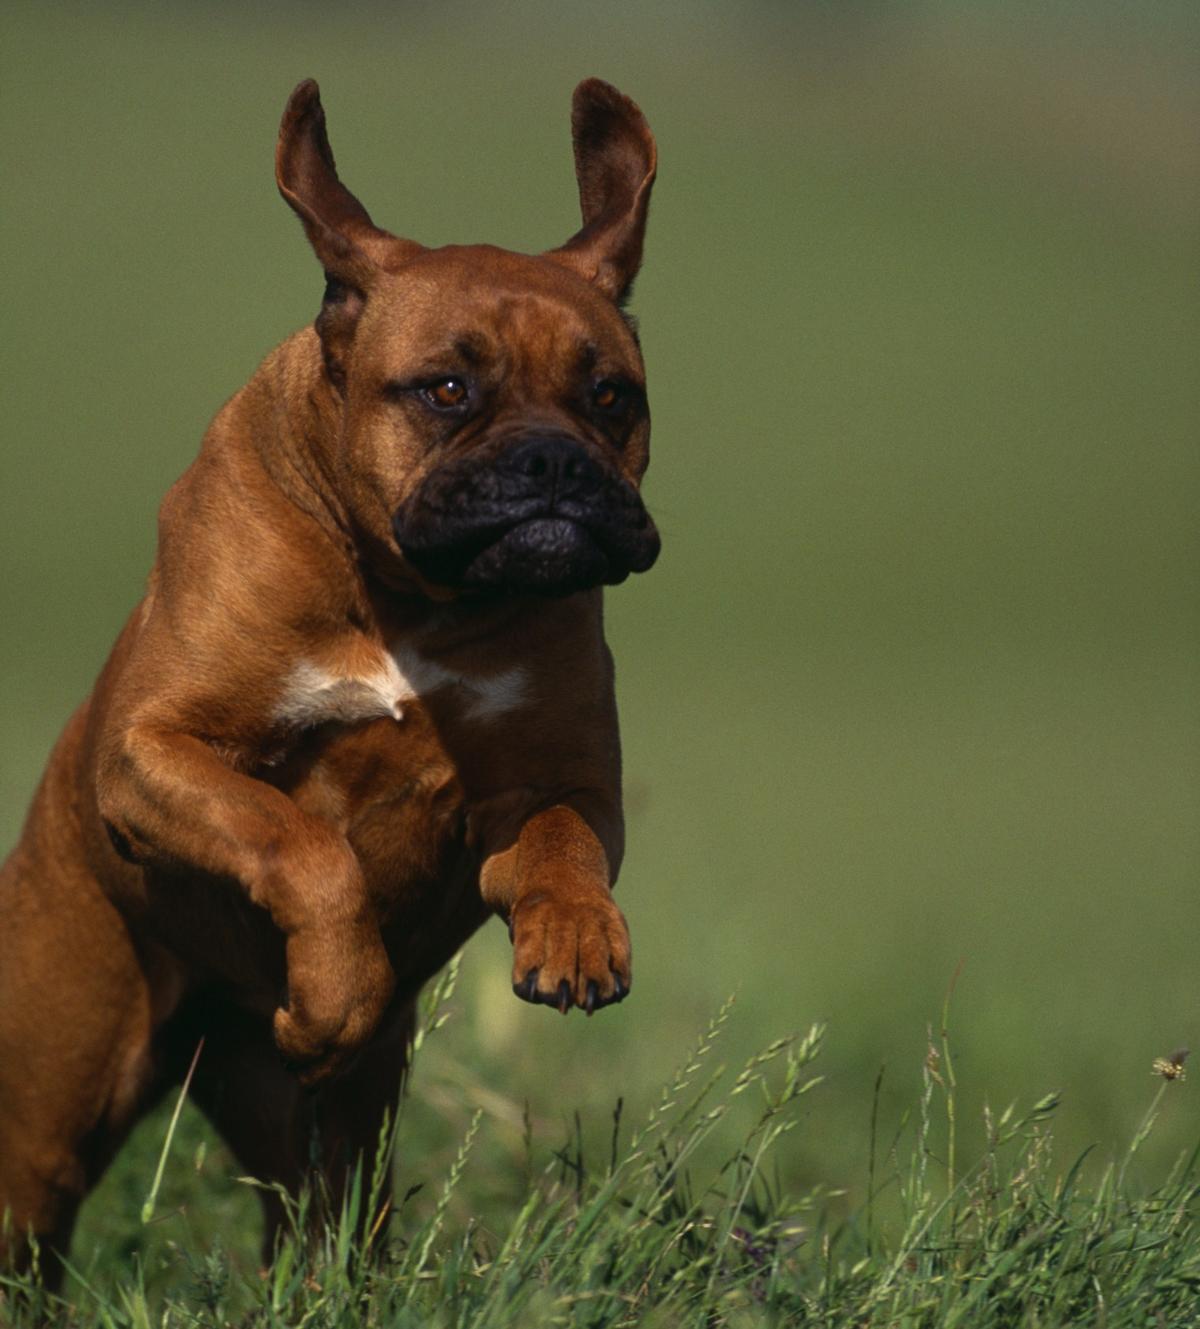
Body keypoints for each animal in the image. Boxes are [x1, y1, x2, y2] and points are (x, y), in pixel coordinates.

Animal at [0, 77, 656, 1281]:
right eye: (445, 389)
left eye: (610, 397)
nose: (552, 461)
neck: (409, 594)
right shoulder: (155, 752)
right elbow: (299, 845)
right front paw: (337, 987)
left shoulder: (559, 782)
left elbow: (560, 845)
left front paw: (575, 933)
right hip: (46, 1107)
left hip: (326, 1144)